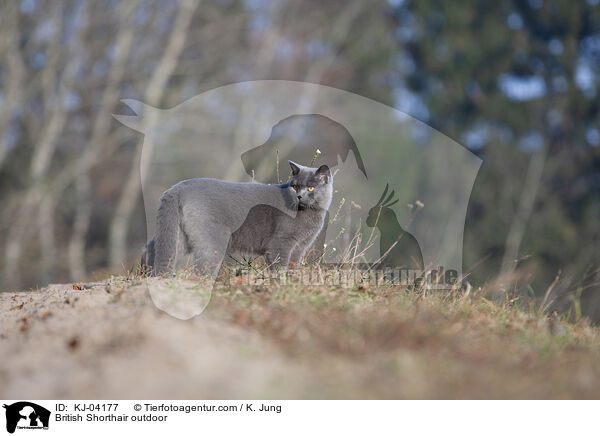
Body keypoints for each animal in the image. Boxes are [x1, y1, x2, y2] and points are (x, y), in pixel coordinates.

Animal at [144, 160, 336, 276]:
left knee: (154, 247)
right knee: (201, 269)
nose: (299, 196)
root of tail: (177, 188)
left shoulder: (300, 247)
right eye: (295, 186)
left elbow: (293, 267)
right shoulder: (280, 243)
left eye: (310, 188)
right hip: (212, 241)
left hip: (178, 234)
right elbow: (279, 268)